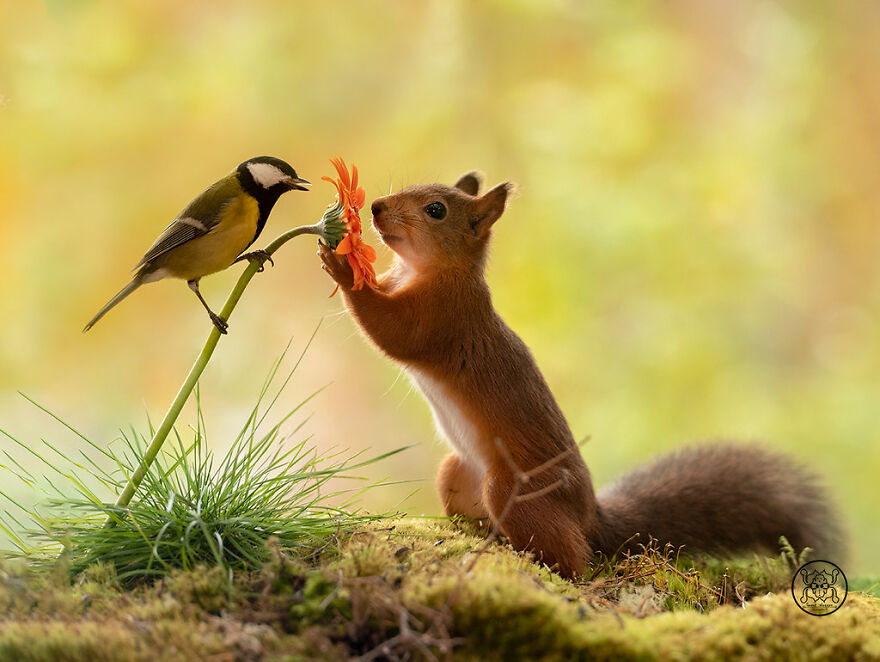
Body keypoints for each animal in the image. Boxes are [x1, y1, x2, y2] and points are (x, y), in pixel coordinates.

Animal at [318, 171, 843, 578]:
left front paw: (339, 261)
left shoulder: (444, 317)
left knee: (574, 560)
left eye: (435, 210)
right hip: (457, 471)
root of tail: (590, 517)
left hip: (516, 490)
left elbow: (392, 333)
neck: (428, 271)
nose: (376, 208)